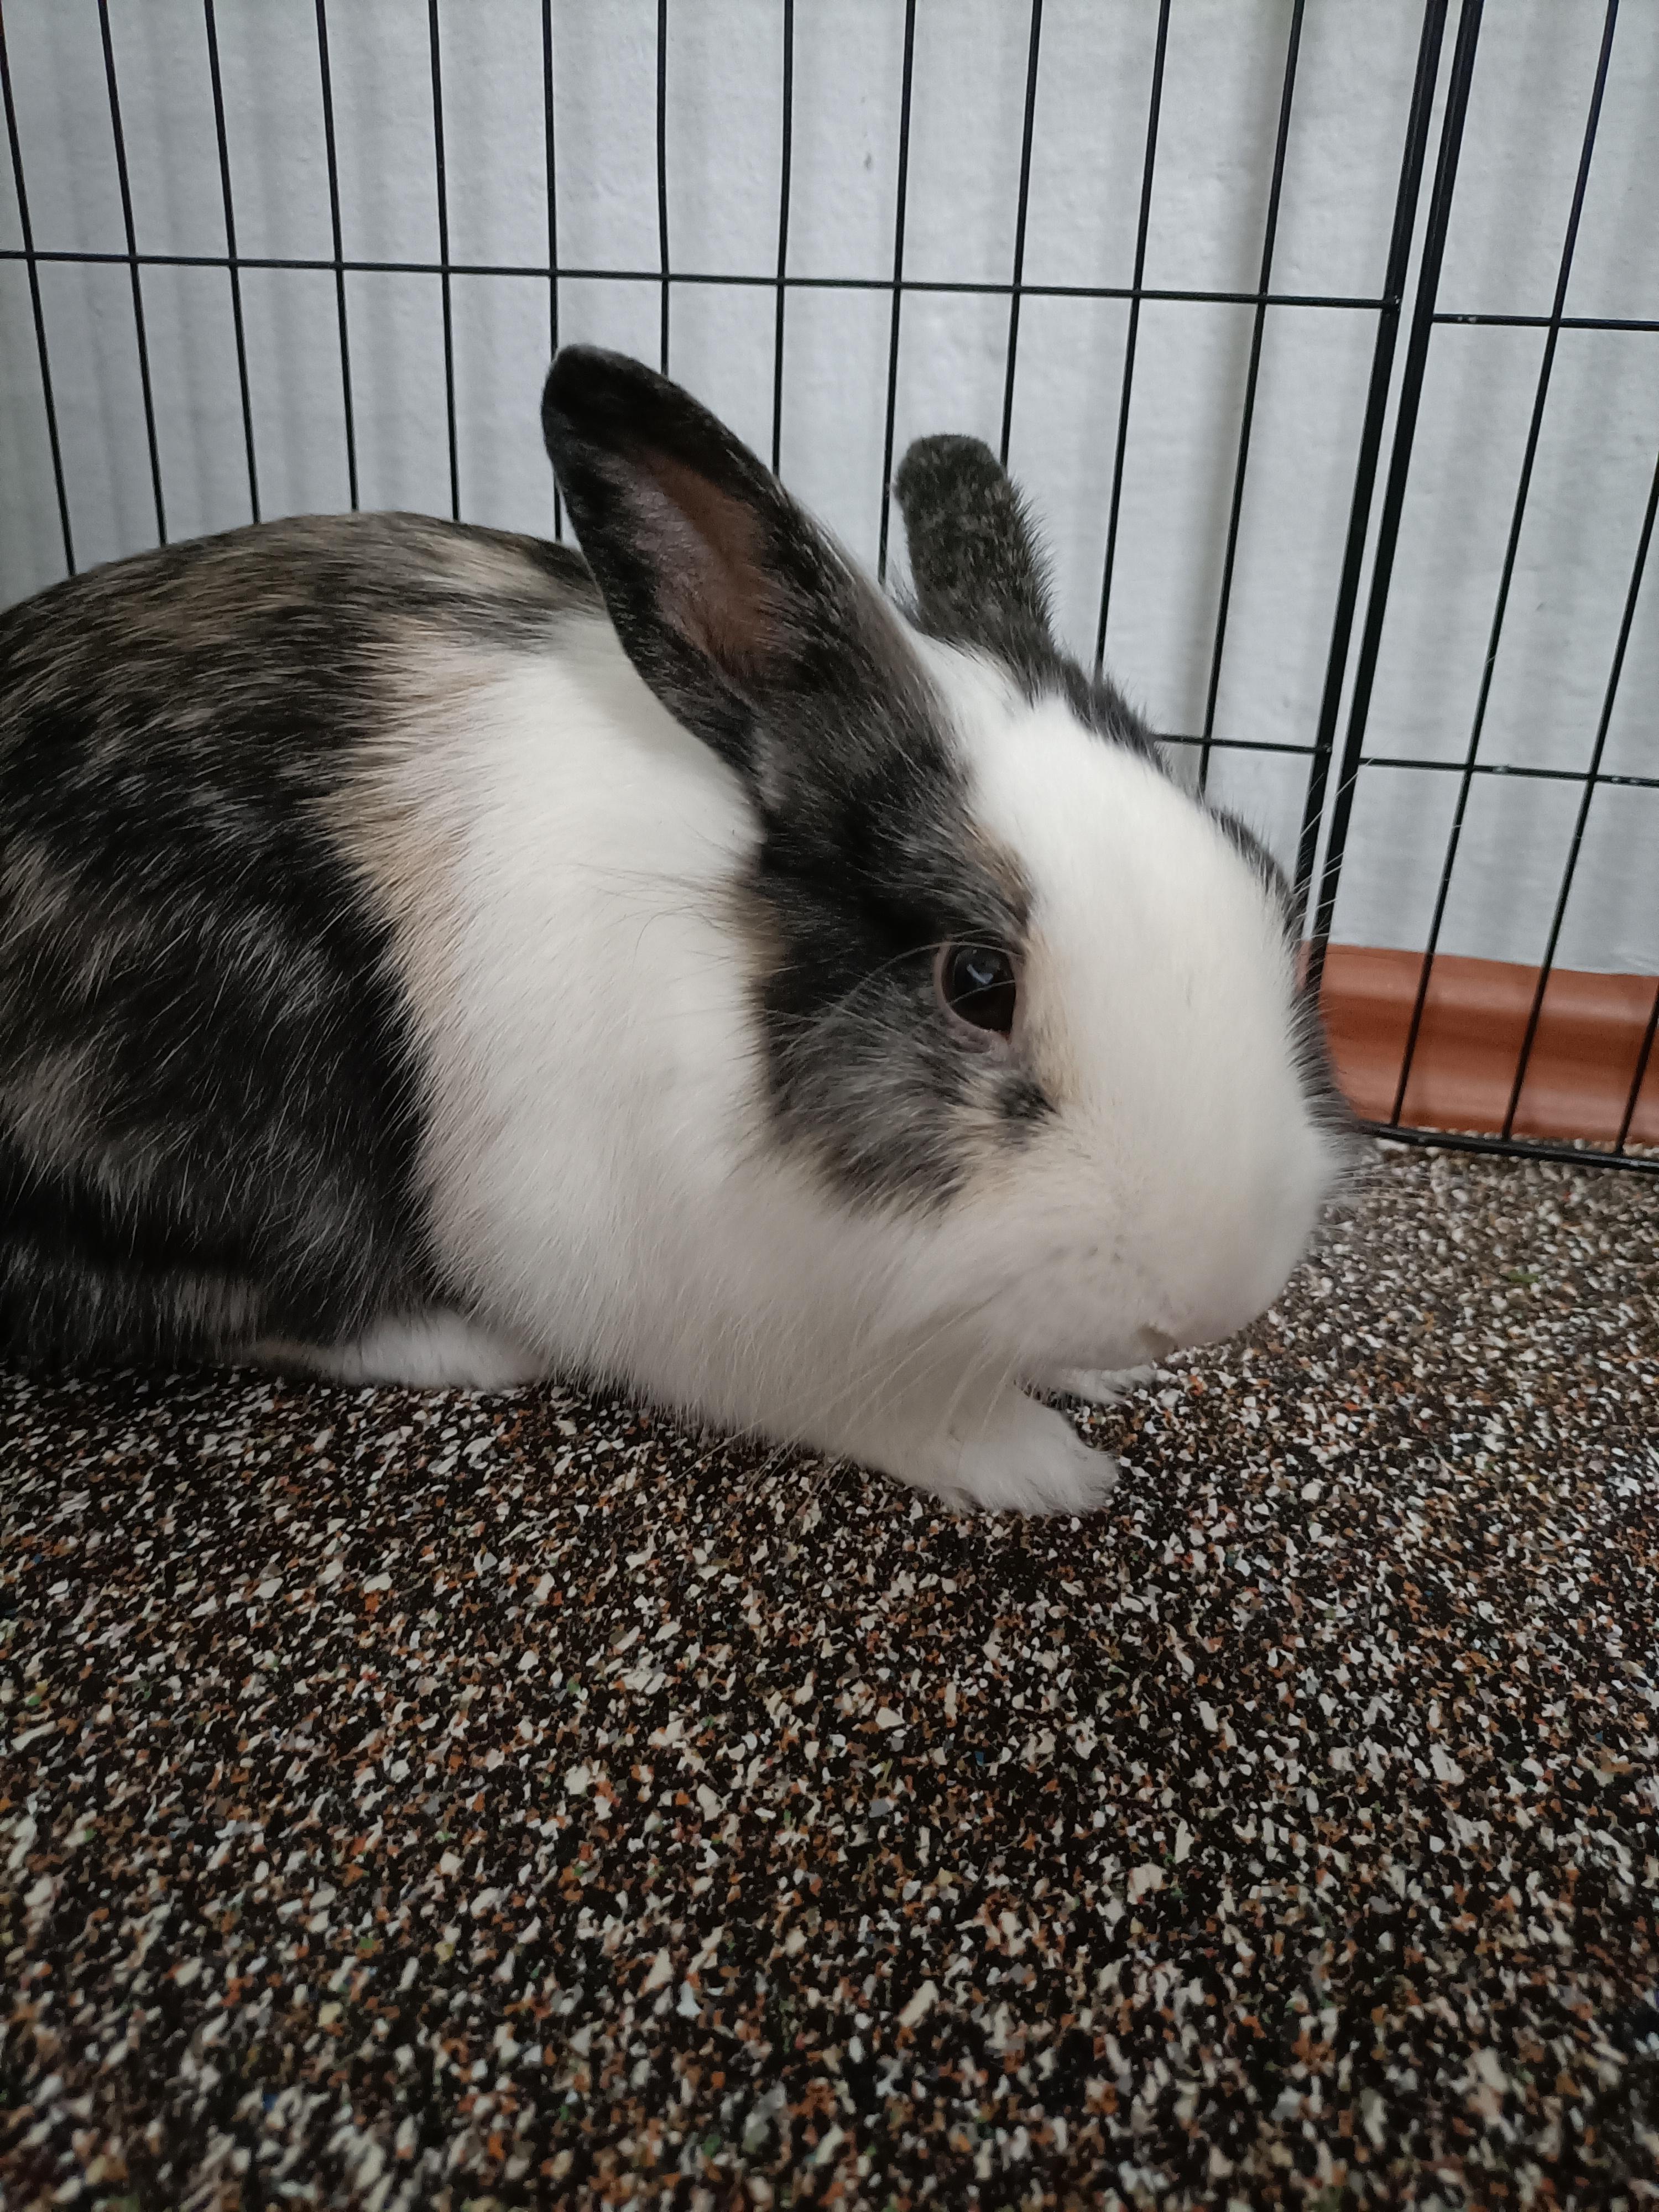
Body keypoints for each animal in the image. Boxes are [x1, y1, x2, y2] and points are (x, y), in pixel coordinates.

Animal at [0, 345, 1357, 1513]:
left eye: (1266, 885)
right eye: (977, 981)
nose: (1211, 1300)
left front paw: (1101, 1368)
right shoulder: (746, 1322)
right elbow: (902, 1402)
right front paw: (1044, 1463)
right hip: (234, 1080)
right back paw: (467, 1344)